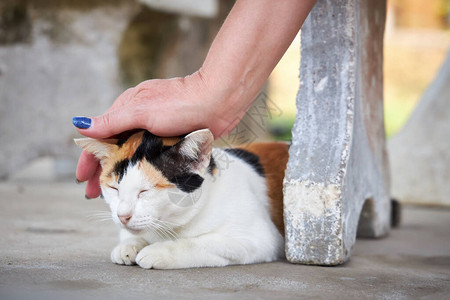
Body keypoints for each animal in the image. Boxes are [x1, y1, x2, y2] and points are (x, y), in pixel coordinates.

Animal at [74, 129, 288, 270]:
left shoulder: (260, 238)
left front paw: (158, 251)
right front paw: (128, 246)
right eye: (114, 188)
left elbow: (198, 242)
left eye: (145, 191)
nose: (122, 216)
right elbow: (129, 235)